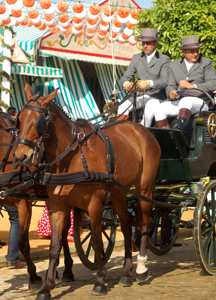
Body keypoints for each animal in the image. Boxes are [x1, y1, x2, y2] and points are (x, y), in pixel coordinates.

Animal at [14, 84, 161, 300]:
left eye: (40, 122)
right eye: (20, 119)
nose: (20, 157)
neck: (71, 157)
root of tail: (141, 129)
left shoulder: (94, 204)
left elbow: (97, 241)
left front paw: (100, 282)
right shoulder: (57, 205)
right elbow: (54, 246)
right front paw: (46, 287)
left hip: (145, 189)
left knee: (145, 222)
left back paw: (141, 266)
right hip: (118, 194)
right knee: (127, 226)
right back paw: (126, 273)